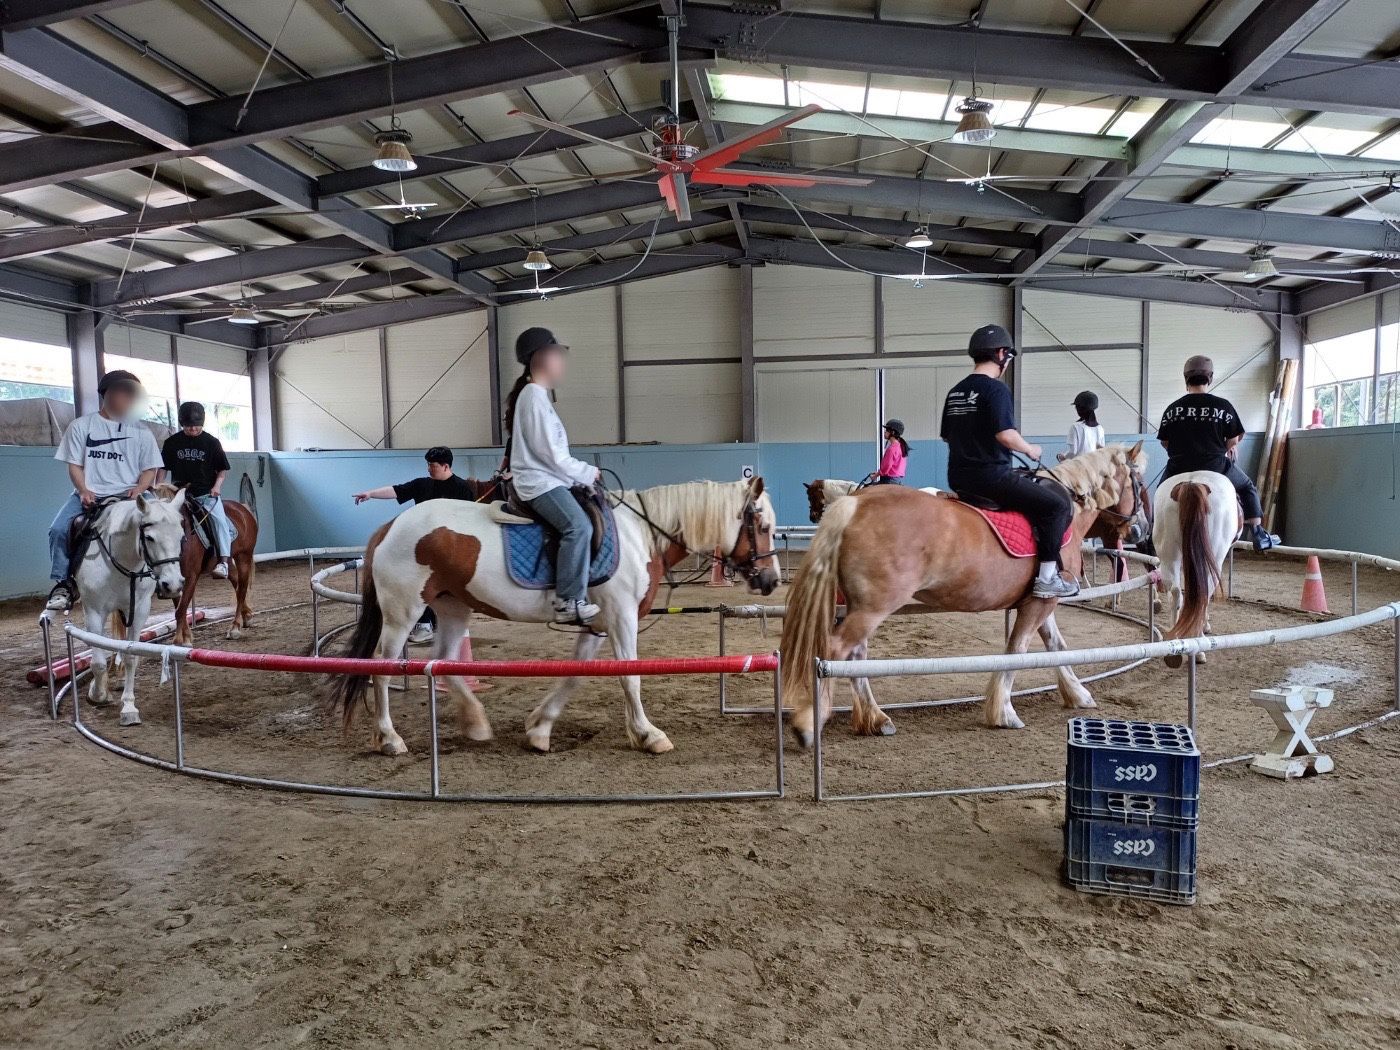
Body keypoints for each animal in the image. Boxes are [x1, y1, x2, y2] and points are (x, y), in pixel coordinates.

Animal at [72, 492, 187, 722]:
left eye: (181, 537)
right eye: (149, 538)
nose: (172, 585)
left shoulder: (140, 610)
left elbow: (131, 655)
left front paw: (128, 706)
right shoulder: (94, 612)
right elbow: (97, 662)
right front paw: (97, 694)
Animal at [154, 487, 259, 649]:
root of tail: (242, 509)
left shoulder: (190, 576)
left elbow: (180, 609)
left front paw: (179, 641)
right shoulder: (171, 581)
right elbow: (179, 606)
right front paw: (186, 637)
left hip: (244, 556)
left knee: (241, 589)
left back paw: (235, 628)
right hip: (227, 559)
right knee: (236, 583)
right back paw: (247, 615)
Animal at [331, 476, 784, 756]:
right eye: (761, 524)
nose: (771, 580)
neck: (641, 534)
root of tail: (390, 526)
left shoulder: (598, 625)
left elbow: (576, 675)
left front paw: (539, 730)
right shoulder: (621, 618)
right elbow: (631, 676)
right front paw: (648, 734)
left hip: (453, 607)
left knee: (444, 664)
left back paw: (476, 723)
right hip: (403, 612)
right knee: (382, 667)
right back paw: (389, 738)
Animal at [778, 445, 1148, 750]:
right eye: (1138, 483)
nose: (1141, 529)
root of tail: (857, 504)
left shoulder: (1041, 602)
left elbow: (1056, 646)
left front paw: (1078, 694)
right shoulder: (1040, 604)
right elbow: (1017, 652)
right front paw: (1004, 713)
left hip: (862, 606)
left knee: (853, 655)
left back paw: (875, 719)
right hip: (872, 607)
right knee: (833, 650)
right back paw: (809, 723)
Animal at [1153, 473, 1243, 669]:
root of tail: (1191, 483)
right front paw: (1205, 626)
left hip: (1169, 553)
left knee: (1176, 593)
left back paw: (1175, 643)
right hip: (1215, 554)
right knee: (1203, 593)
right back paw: (1199, 648)